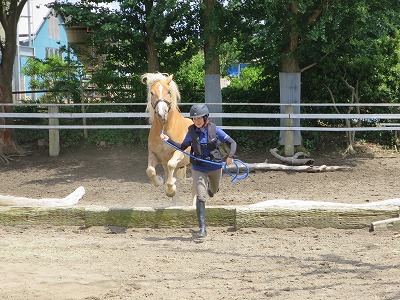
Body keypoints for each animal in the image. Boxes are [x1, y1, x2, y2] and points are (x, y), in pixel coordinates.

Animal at [141, 72, 194, 204]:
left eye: (169, 91)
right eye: (152, 93)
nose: (161, 114)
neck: (165, 127)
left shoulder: (178, 153)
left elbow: (171, 165)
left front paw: (170, 189)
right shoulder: (154, 155)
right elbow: (150, 170)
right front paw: (160, 181)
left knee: (195, 188)